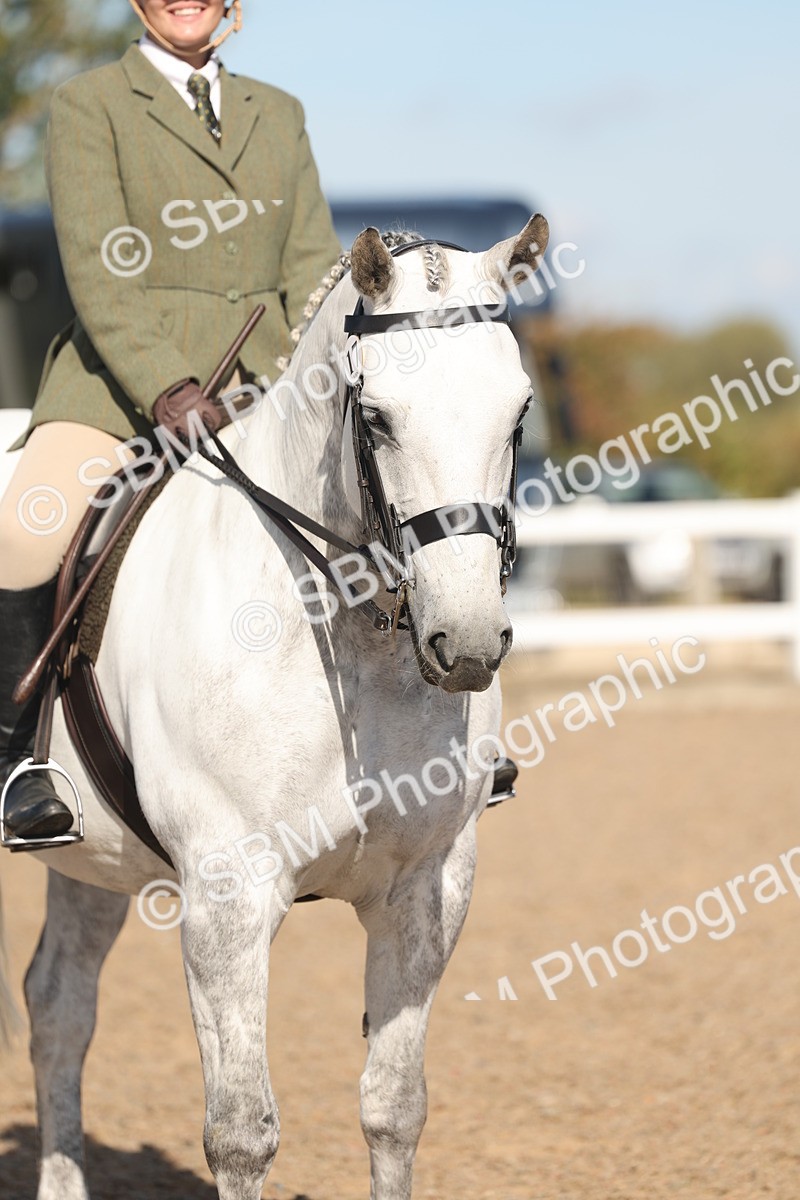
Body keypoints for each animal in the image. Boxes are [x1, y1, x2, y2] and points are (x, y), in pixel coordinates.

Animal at [0, 217, 548, 1200]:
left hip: (92, 857)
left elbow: (394, 1107)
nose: (470, 643)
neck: (354, 640)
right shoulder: (228, 892)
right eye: (377, 418)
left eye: (517, 412)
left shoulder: (428, 885)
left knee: (59, 1003)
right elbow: (242, 1133)